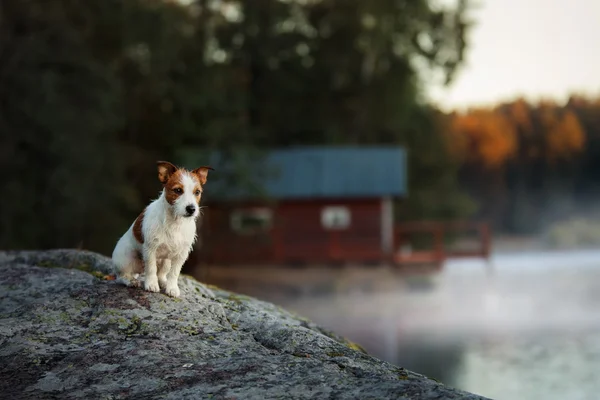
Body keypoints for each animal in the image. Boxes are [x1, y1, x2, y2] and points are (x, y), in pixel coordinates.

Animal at [112, 162, 213, 296]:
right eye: (178, 190)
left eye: (197, 192)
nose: (191, 209)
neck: (175, 222)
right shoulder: (150, 249)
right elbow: (151, 268)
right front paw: (151, 284)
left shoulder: (181, 254)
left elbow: (174, 273)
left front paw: (172, 288)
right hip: (125, 258)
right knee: (121, 276)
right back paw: (130, 281)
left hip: (166, 261)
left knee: (161, 274)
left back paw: (163, 282)